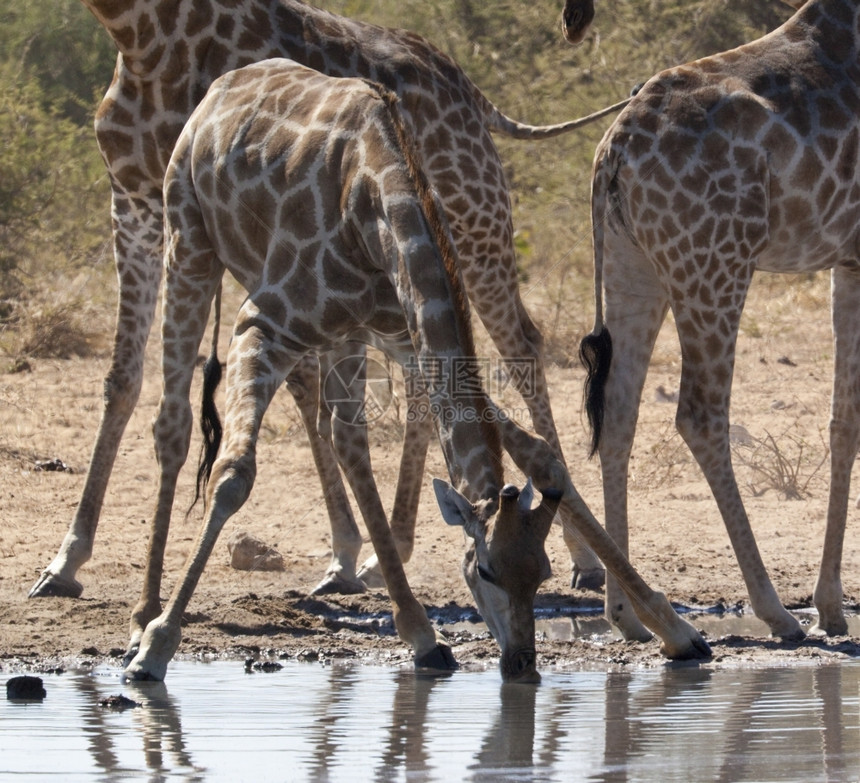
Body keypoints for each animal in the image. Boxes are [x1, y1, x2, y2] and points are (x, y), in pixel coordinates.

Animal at [28, 0, 620, 600]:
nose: (575, 21)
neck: (142, 37)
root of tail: (473, 93)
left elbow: (306, 391)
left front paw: (348, 550)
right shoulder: (135, 203)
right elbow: (123, 380)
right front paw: (66, 560)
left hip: (472, 223)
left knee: (520, 345)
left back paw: (580, 558)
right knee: (430, 376)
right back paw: (398, 549)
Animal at [122, 59, 704, 680]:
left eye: (542, 572)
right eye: (484, 570)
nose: (522, 664)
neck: (374, 202)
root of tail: (223, 86)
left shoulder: (406, 332)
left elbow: (540, 455)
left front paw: (677, 631)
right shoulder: (262, 323)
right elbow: (234, 476)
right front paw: (158, 646)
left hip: (349, 332)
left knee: (346, 437)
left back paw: (420, 633)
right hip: (189, 245)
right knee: (173, 424)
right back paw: (142, 619)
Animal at [576, 0, 856, 644]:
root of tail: (614, 151)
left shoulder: (849, 258)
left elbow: (842, 420)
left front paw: (832, 604)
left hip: (633, 268)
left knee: (620, 412)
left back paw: (632, 613)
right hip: (714, 263)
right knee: (699, 415)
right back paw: (773, 610)